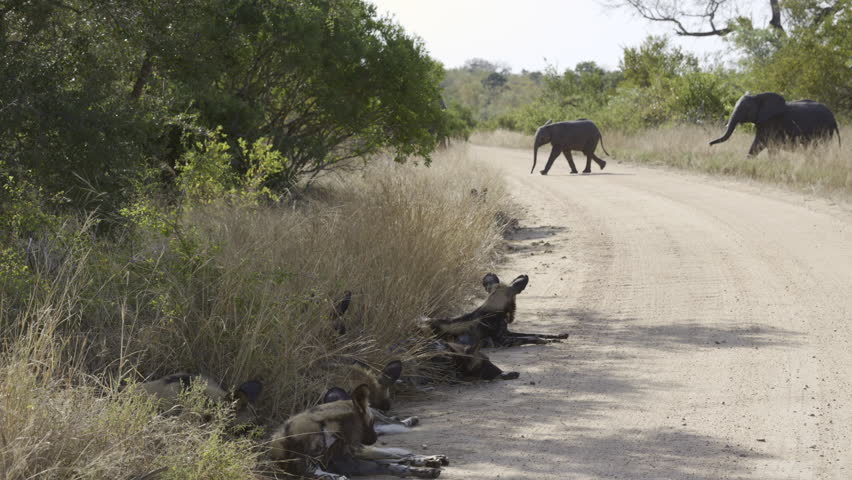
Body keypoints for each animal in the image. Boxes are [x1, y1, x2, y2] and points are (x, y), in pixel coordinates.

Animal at [709, 92, 840, 156]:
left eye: (745, 109)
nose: (709, 144)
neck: (758, 97)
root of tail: (834, 117)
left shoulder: (772, 122)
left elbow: (769, 145)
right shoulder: (763, 123)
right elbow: (757, 145)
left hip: (825, 130)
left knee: (819, 148)